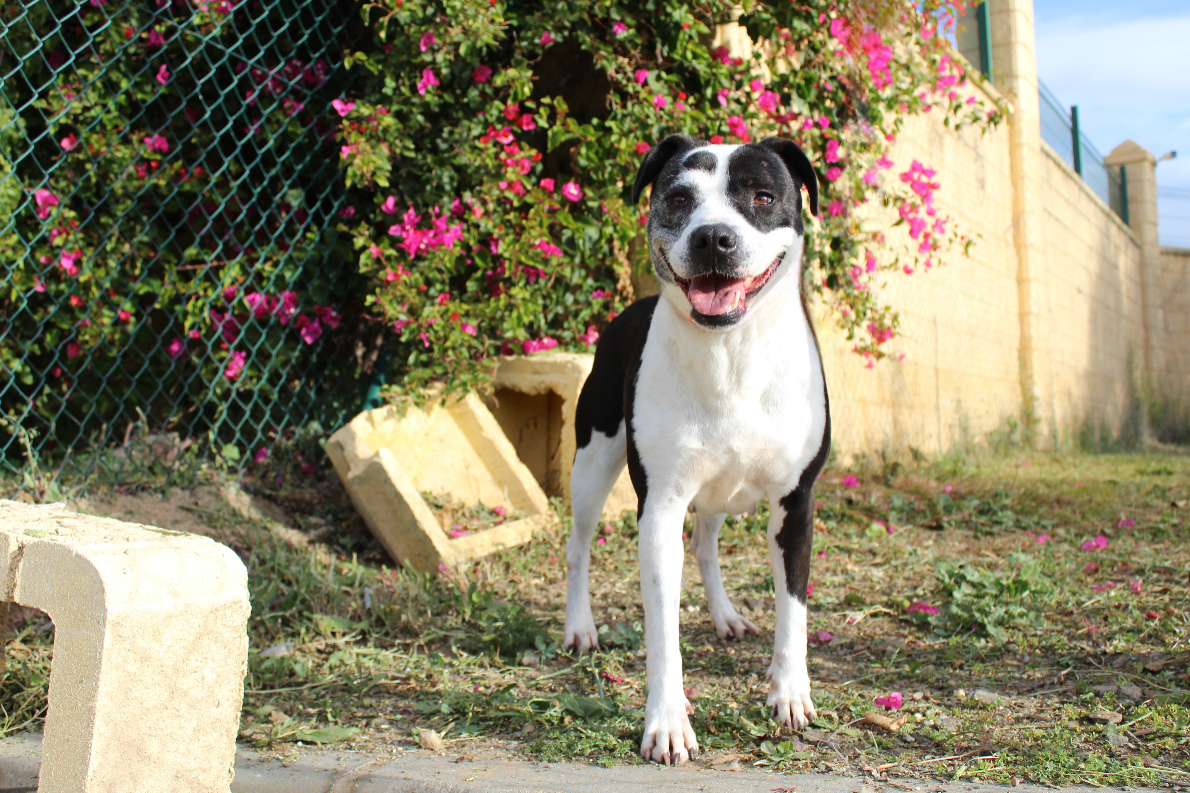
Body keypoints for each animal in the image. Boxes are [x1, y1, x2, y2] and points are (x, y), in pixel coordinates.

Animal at [559, 132, 828, 762]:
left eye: (762, 196)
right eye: (679, 198)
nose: (713, 237)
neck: (730, 351)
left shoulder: (796, 504)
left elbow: (793, 611)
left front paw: (789, 694)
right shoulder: (660, 508)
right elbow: (663, 632)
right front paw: (666, 722)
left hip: (720, 493)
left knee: (706, 545)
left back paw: (726, 617)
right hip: (593, 463)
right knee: (578, 546)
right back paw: (580, 627)